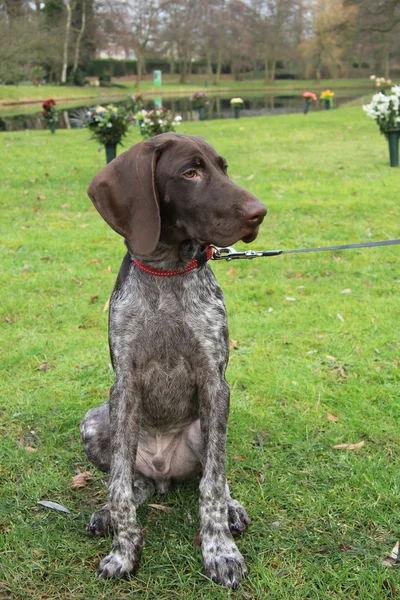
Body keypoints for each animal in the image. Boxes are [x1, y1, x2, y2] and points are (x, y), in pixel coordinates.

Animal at [79, 134, 266, 588]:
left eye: (223, 168)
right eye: (190, 172)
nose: (260, 212)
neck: (166, 272)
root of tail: (164, 471)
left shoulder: (216, 384)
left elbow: (212, 486)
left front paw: (220, 551)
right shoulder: (124, 388)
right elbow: (119, 488)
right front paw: (123, 550)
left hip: (207, 424)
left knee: (213, 474)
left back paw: (232, 510)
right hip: (95, 421)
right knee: (135, 481)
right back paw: (112, 510)